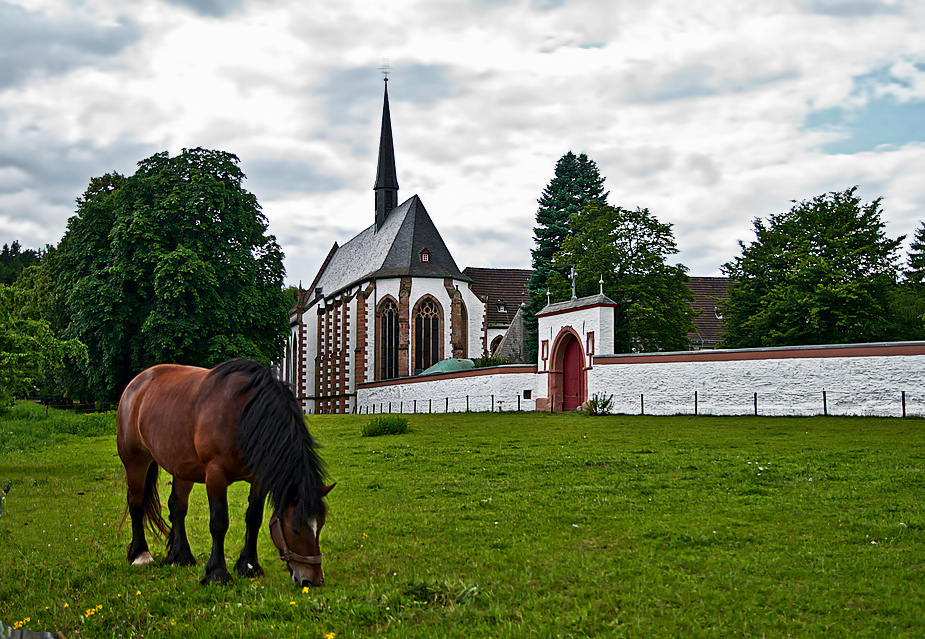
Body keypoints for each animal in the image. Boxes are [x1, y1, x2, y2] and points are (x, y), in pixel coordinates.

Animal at [115, 358, 332, 588]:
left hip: (182, 467)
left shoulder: (258, 479)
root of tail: (136, 384)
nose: (313, 579)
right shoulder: (215, 474)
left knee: (177, 508)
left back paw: (181, 556)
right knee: (136, 503)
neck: (243, 414)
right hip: (136, 461)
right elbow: (219, 523)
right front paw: (217, 572)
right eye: (294, 530)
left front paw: (249, 566)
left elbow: (253, 518)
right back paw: (141, 555)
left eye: (320, 525)